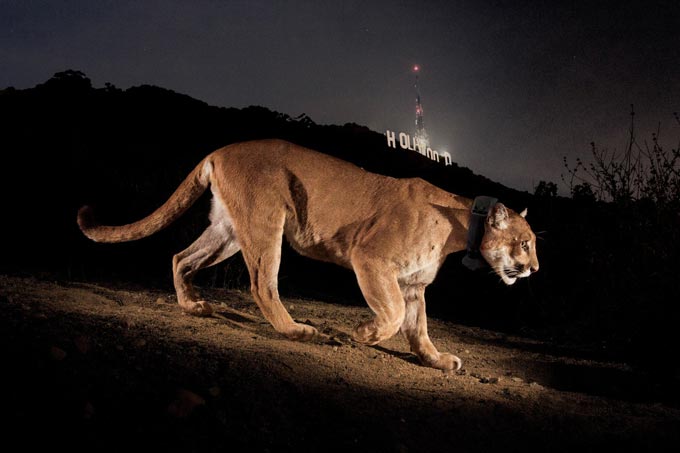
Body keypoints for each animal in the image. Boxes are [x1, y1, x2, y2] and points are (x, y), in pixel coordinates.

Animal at [78, 139, 538, 371]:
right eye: (526, 242)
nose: (534, 268)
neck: (460, 226)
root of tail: (221, 150)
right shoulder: (371, 259)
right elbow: (391, 316)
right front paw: (363, 334)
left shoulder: (413, 285)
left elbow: (418, 329)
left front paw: (438, 360)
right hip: (266, 222)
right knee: (262, 284)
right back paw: (298, 331)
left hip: (228, 230)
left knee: (180, 257)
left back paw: (193, 305)